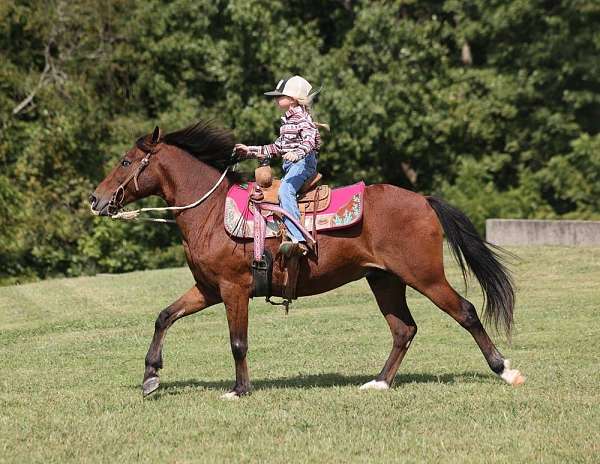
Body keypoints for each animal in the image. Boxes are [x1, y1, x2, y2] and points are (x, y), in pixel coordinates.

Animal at [90, 120, 524, 398]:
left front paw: (239, 389)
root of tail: (423, 200)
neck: (211, 213)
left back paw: (505, 370)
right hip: (384, 279)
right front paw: (150, 376)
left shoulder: (233, 289)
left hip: (425, 276)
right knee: (404, 330)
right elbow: (164, 316)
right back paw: (380, 382)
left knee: (465, 311)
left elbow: (237, 342)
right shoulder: (208, 289)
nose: (96, 199)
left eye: (125, 162)